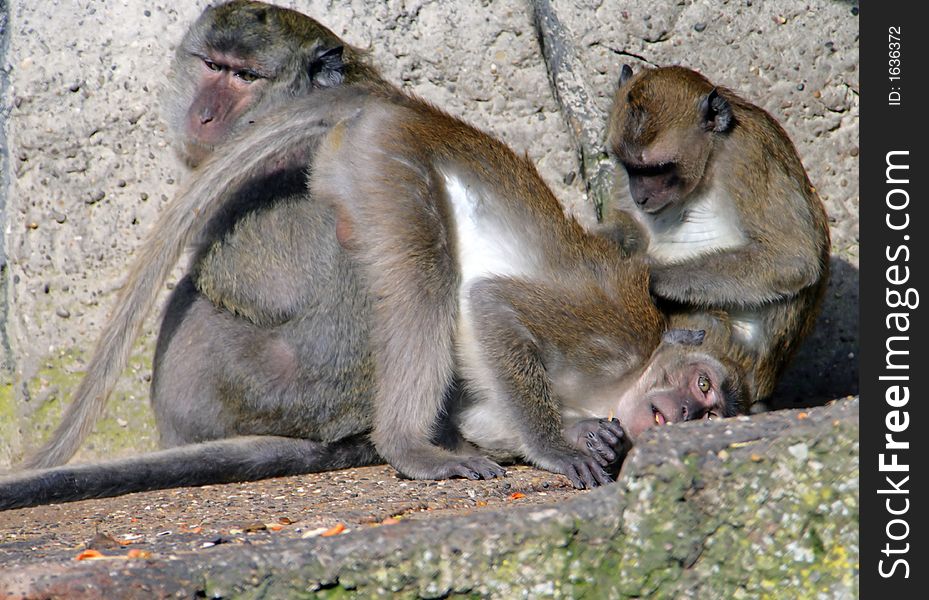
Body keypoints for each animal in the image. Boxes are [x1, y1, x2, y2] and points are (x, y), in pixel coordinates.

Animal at [604, 67, 832, 408]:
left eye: (658, 169)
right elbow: (625, 225)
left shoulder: (748, 157)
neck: (709, 161)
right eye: (630, 167)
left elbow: (792, 258)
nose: (640, 196)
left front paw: (651, 277)